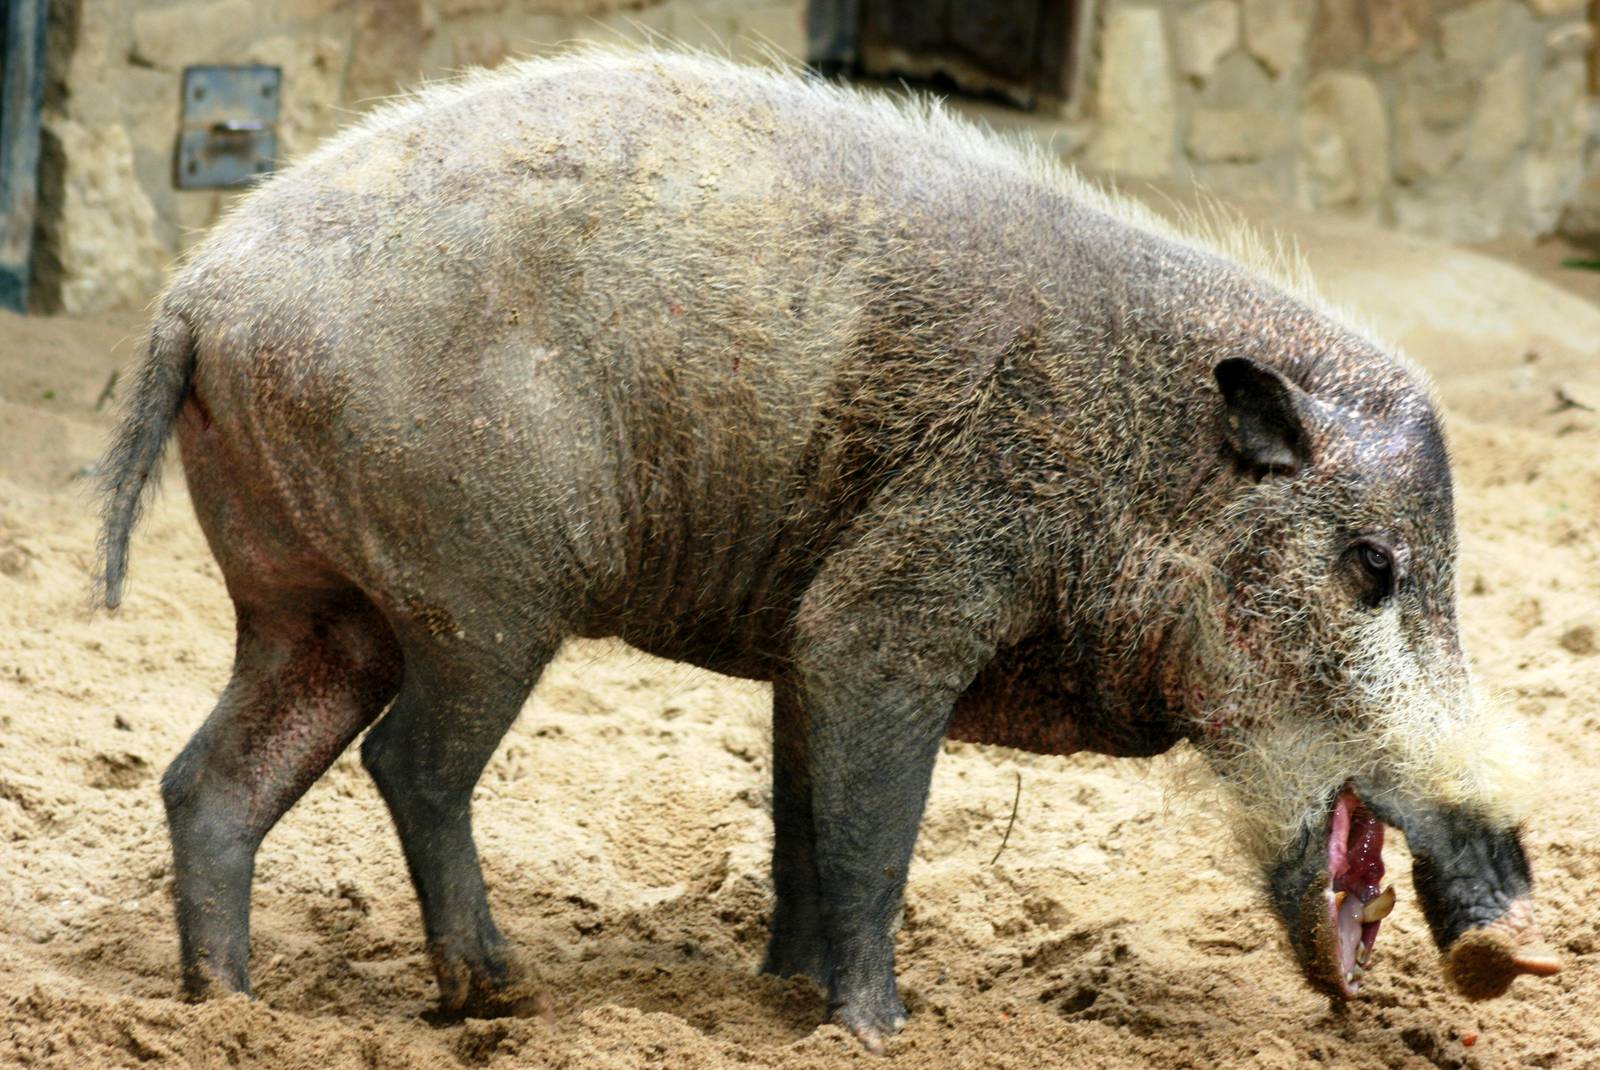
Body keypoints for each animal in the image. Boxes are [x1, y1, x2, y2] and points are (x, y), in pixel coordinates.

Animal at [95, 50, 1560, 1052]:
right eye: (1372, 566)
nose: (1516, 943)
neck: (1138, 465)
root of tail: (195, 296)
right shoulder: (885, 613)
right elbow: (873, 833)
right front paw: (877, 1030)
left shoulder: (801, 648)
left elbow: (806, 824)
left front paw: (788, 993)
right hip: (485, 597)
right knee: (412, 762)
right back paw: (498, 991)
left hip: (313, 607)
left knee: (210, 780)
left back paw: (227, 1011)